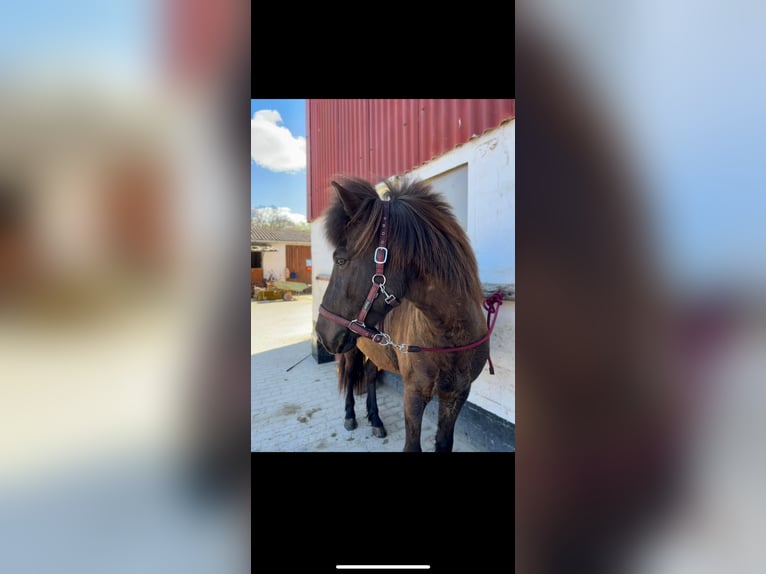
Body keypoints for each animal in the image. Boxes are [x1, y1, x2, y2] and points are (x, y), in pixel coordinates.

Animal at [315, 177, 492, 452]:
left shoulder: (456, 396)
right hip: (352, 349)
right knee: (352, 375)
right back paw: (350, 417)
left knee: (370, 375)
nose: (322, 331)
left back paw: (375, 419)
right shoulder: (414, 397)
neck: (448, 336)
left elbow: (444, 443)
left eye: (341, 260)